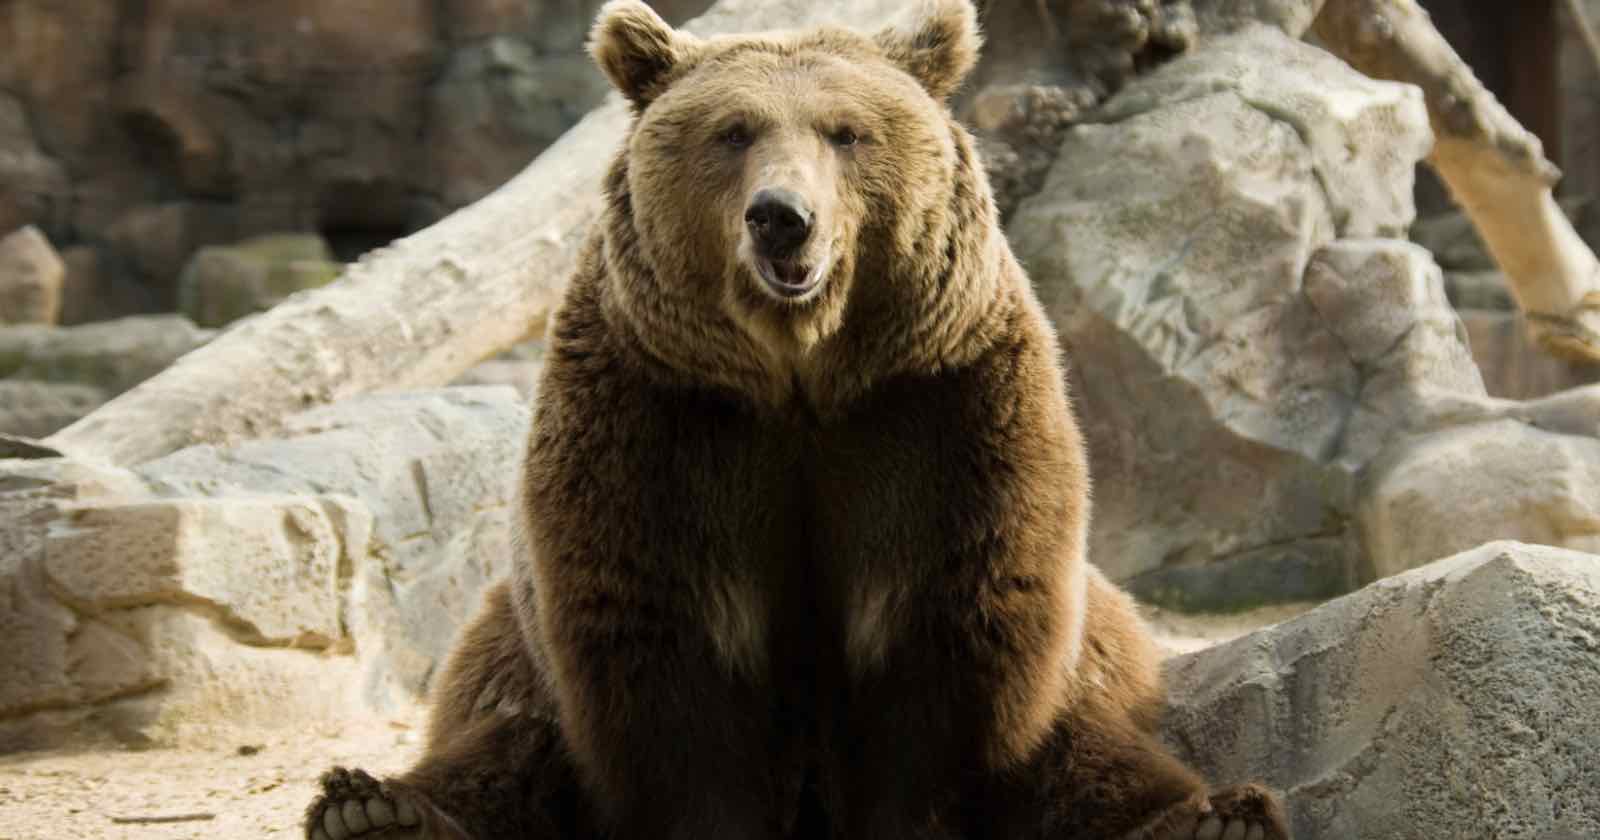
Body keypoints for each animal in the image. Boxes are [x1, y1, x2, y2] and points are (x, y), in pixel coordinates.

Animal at [308, 1, 1286, 838]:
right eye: (733, 130)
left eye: (846, 132)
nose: (783, 218)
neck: (801, 376)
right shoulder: (659, 416)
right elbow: (663, 655)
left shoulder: (941, 409)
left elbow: (953, 633)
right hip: (507, 644)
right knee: (504, 740)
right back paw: (374, 809)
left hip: (1101, 648)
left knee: (1094, 745)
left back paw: (1216, 817)